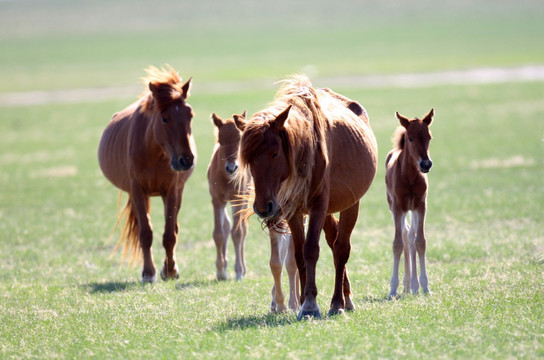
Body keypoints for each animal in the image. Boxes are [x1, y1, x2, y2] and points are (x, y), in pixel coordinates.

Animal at [98, 66, 196, 282]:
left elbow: (170, 234)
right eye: (165, 118)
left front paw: (170, 271)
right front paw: (148, 273)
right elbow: (145, 233)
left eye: (190, 115)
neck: (153, 151)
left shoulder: (171, 191)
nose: (186, 159)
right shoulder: (137, 191)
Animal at [207, 113, 298, 312]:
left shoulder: (239, 198)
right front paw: (220, 271)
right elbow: (219, 233)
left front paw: (239, 272)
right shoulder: (217, 200)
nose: (232, 168)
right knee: (226, 227)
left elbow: (238, 232)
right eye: (220, 141)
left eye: (239, 140)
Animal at [234, 75, 378, 318]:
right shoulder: (293, 210)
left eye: (275, 153)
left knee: (341, 248)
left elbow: (311, 250)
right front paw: (301, 302)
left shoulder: (318, 206)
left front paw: (311, 304)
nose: (263, 207)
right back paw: (345, 296)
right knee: (334, 241)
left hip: (351, 205)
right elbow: (299, 255)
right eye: (248, 159)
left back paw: (339, 302)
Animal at [386, 107, 434, 298]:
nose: (426, 164)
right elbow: (397, 244)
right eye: (411, 138)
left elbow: (420, 241)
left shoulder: (420, 206)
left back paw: (413, 286)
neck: (410, 177)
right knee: (406, 236)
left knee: (411, 236)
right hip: (394, 208)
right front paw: (392, 289)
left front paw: (426, 287)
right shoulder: (398, 208)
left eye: (429, 137)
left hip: (412, 210)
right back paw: (406, 286)